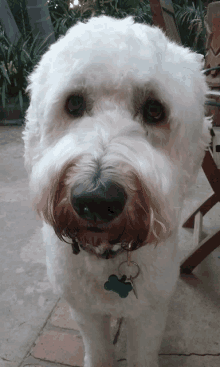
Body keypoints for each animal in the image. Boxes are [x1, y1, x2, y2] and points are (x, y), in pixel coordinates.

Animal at [22, 15, 211, 367]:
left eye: (154, 110)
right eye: (74, 103)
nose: (96, 200)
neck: (108, 252)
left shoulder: (149, 313)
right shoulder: (86, 312)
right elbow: (97, 350)